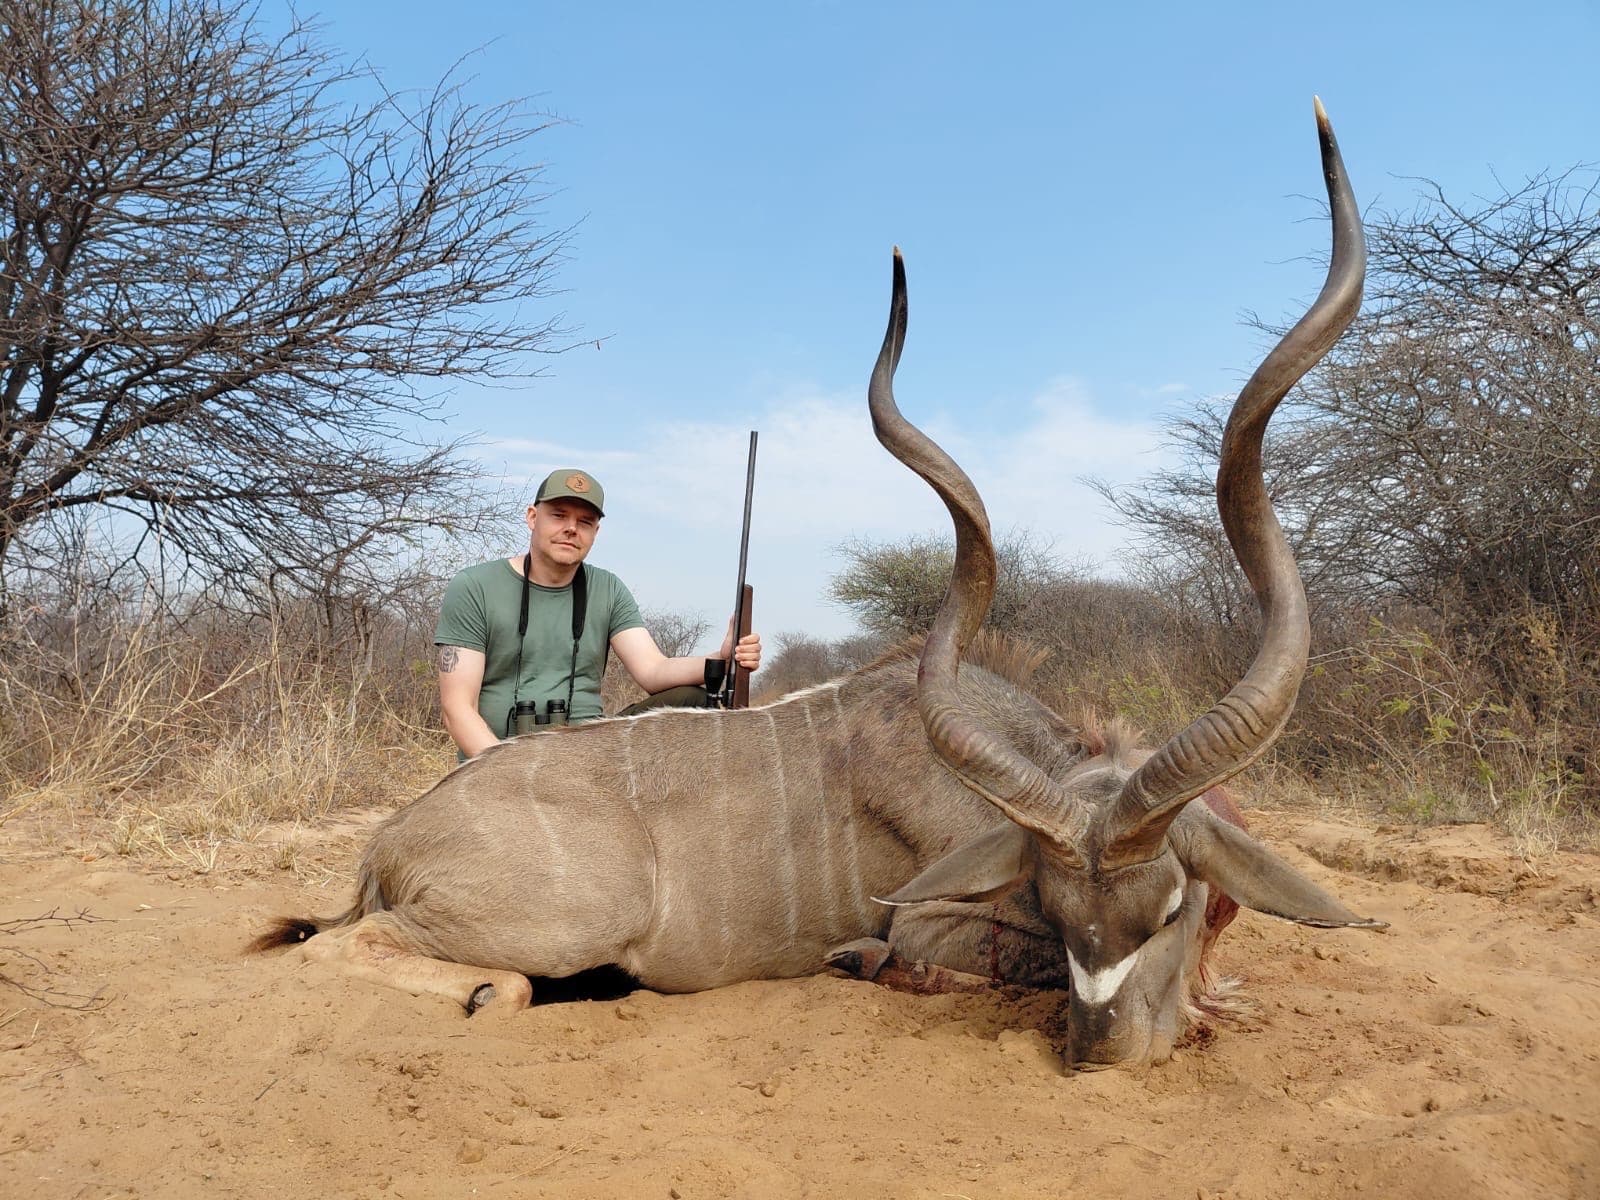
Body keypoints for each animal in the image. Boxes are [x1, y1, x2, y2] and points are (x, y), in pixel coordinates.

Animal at [253, 99, 1384, 1069]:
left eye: (1171, 909)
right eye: (1066, 916)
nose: (1105, 1053)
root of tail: (390, 842)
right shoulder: (938, 922)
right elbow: (931, 956)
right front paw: (865, 959)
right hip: (562, 919)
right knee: (357, 951)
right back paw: (496, 989)